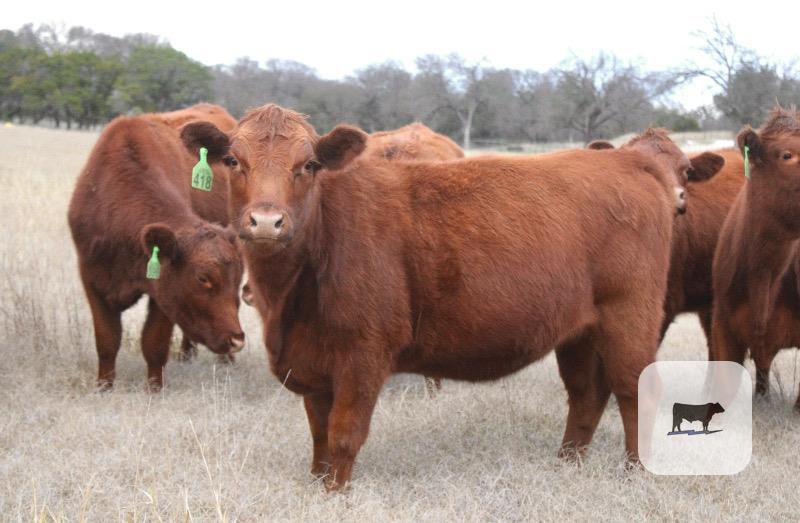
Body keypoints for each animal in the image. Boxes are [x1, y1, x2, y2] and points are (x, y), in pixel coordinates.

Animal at [68, 115, 245, 391]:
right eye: (203, 278)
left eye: (235, 279)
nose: (236, 340)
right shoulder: (92, 279)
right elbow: (107, 341)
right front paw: (104, 386)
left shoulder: (163, 294)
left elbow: (154, 343)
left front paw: (155, 389)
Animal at [180, 104, 691, 490]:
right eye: (233, 161)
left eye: (307, 165)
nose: (266, 221)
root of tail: (629, 163)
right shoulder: (315, 361)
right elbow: (319, 434)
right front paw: (318, 482)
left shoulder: (363, 355)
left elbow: (344, 433)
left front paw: (335, 494)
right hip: (580, 330)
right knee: (586, 393)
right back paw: (567, 463)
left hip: (630, 315)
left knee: (633, 388)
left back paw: (634, 472)